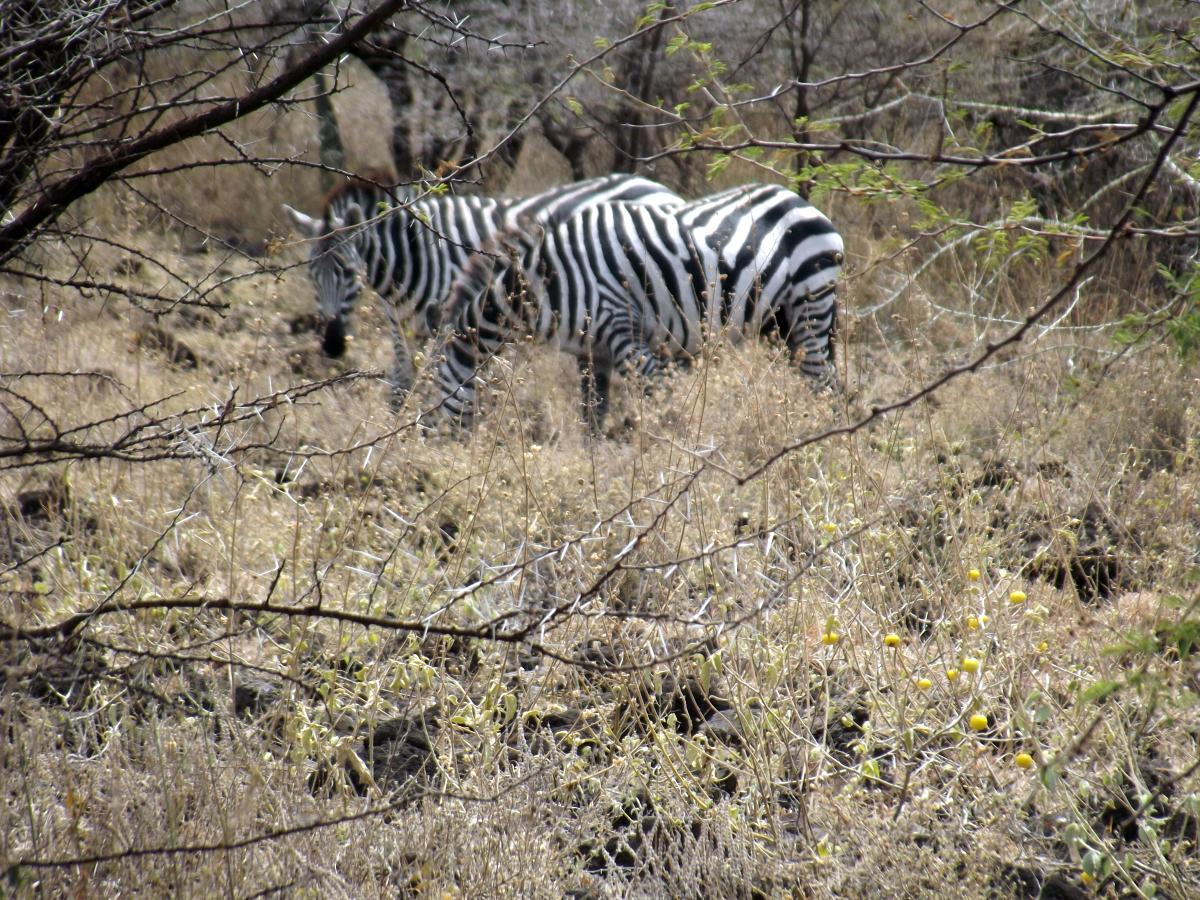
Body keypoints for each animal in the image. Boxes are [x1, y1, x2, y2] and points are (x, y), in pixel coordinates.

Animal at [274, 172, 681, 400]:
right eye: (311, 276)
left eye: (348, 272)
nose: (331, 345)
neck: (412, 254)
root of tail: (659, 187)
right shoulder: (402, 326)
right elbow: (400, 387)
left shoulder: (448, 319)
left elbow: (440, 381)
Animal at [434, 181, 844, 432]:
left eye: (433, 394)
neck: (546, 281)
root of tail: (800, 200)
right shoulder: (591, 350)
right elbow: (593, 413)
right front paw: (597, 473)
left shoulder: (624, 333)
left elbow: (663, 409)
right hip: (780, 322)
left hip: (811, 305)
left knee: (825, 385)